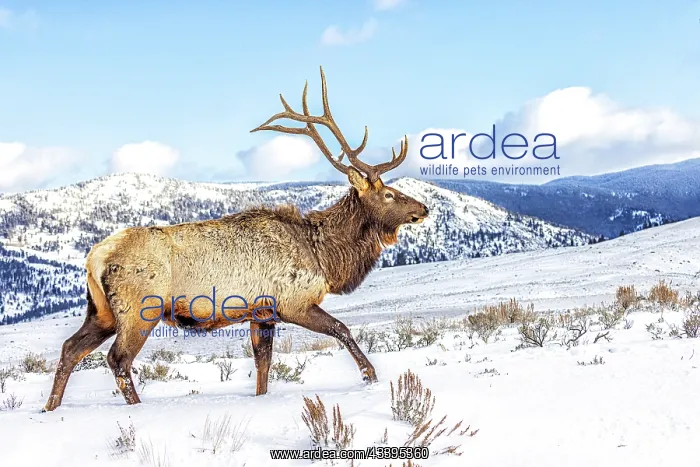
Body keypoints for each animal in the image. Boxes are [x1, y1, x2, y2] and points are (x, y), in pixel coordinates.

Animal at [43, 66, 429, 412]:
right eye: (390, 194)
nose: (423, 208)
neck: (325, 256)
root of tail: (94, 257)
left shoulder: (261, 312)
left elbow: (263, 365)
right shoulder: (292, 302)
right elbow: (342, 329)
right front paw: (370, 375)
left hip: (101, 311)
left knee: (70, 349)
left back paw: (49, 408)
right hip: (140, 309)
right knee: (118, 359)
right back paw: (135, 408)